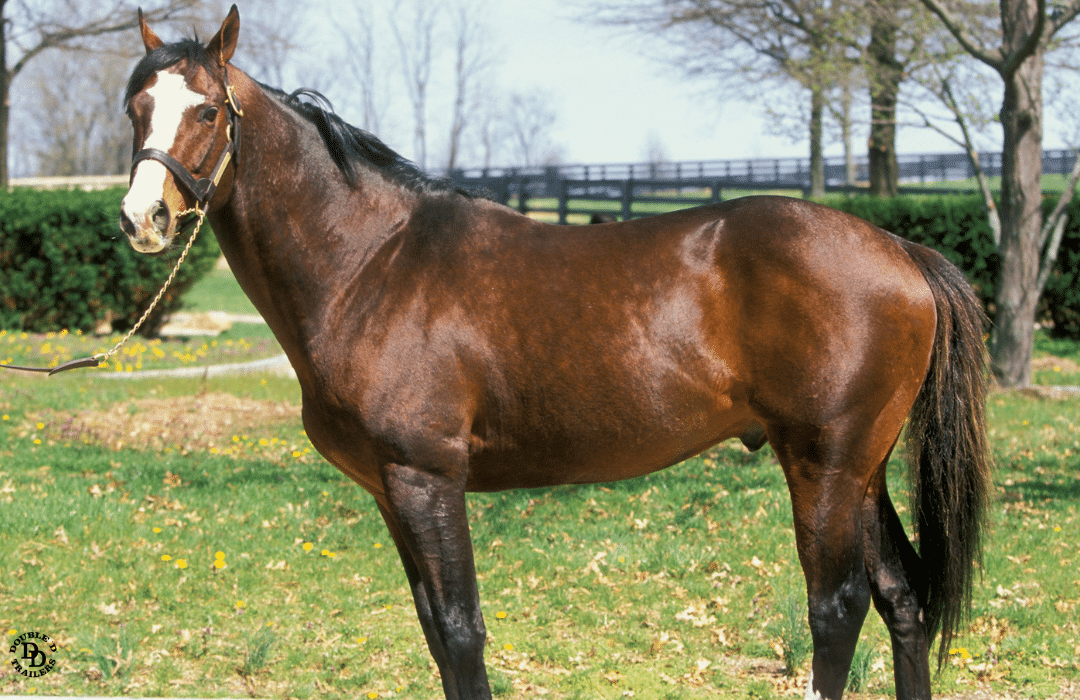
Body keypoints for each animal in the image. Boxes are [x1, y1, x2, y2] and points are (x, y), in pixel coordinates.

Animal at [122, 6, 989, 700]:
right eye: (136, 109)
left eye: (206, 110)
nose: (142, 219)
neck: (372, 262)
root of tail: (900, 250)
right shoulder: (392, 491)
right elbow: (436, 632)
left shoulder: (426, 479)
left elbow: (460, 633)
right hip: (861, 470)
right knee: (901, 599)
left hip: (825, 464)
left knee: (836, 611)